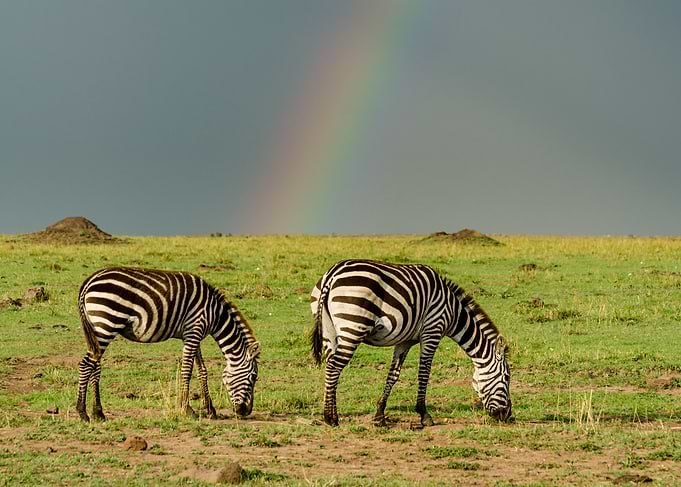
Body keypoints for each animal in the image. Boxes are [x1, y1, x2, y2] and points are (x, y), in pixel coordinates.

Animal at [76, 267, 260, 422]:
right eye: (253, 377)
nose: (246, 412)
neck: (215, 314)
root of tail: (90, 280)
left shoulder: (193, 334)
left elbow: (202, 371)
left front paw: (210, 410)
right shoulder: (194, 330)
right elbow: (187, 371)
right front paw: (187, 410)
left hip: (97, 330)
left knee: (95, 366)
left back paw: (98, 412)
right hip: (107, 323)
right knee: (86, 364)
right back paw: (83, 412)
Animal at [310, 259, 511, 427]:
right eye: (507, 377)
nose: (507, 415)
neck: (453, 311)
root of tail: (332, 274)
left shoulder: (405, 341)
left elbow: (393, 375)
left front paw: (379, 415)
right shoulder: (432, 331)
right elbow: (424, 373)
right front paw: (424, 415)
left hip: (329, 331)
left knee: (330, 368)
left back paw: (330, 413)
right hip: (353, 326)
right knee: (334, 367)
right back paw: (331, 418)